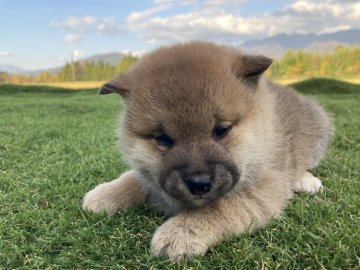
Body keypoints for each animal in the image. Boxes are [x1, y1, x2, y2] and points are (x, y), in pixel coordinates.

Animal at [83, 41, 334, 260]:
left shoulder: (264, 188)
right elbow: (135, 177)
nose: (199, 183)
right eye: (163, 138)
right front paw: (105, 194)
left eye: (221, 130)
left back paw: (305, 181)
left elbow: (219, 207)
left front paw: (181, 232)